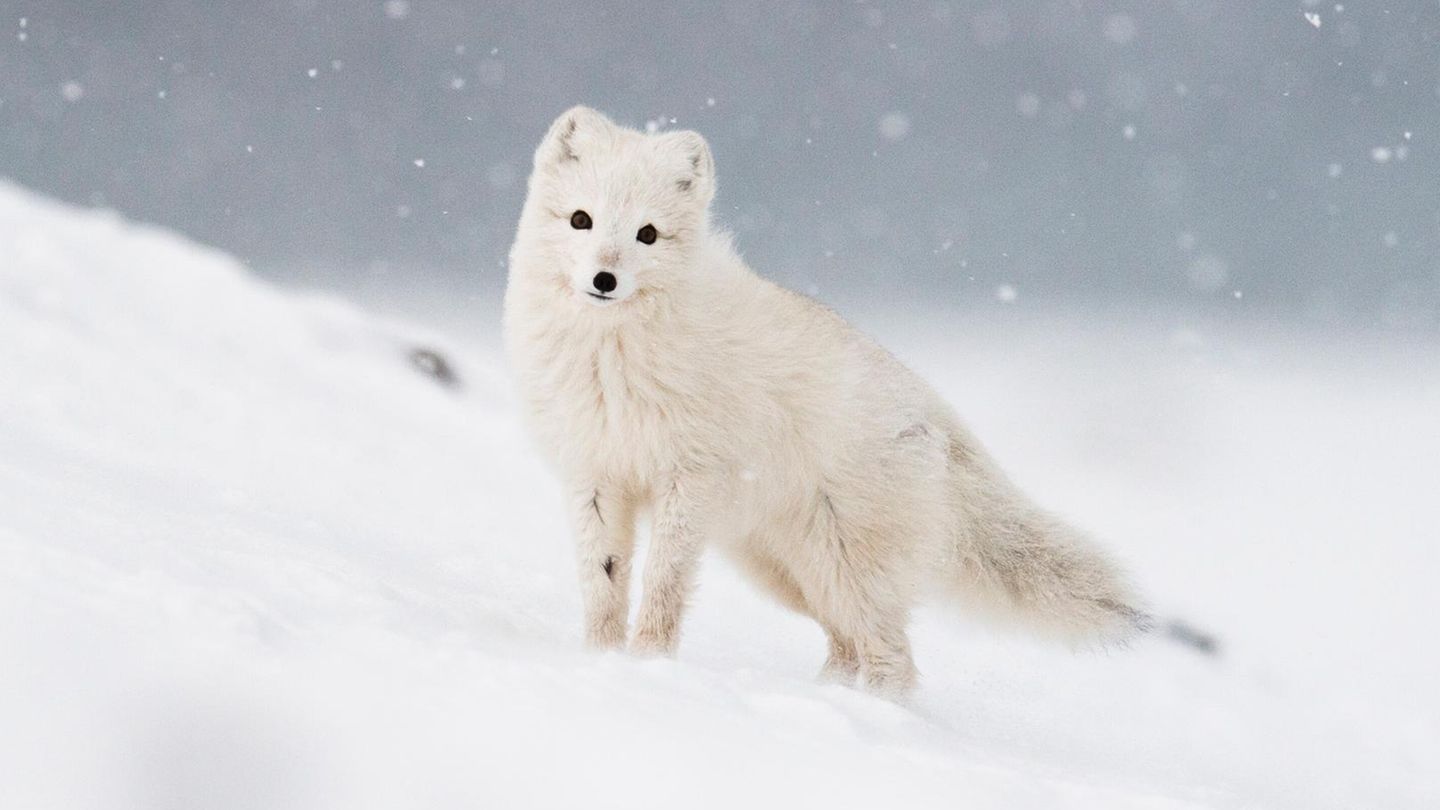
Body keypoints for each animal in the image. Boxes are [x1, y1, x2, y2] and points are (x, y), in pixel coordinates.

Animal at [501, 102, 1140, 694]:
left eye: (648, 234)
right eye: (581, 219)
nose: (604, 281)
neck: (610, 361)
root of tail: (932, 412)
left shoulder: (689, 478)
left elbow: (662, 584)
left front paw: (649, 665)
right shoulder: (594, 474)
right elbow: (603, 582)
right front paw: (601, 661)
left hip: (845, 568)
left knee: (893, 660)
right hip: (784, 570)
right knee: (847, 645)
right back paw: (824, 697)